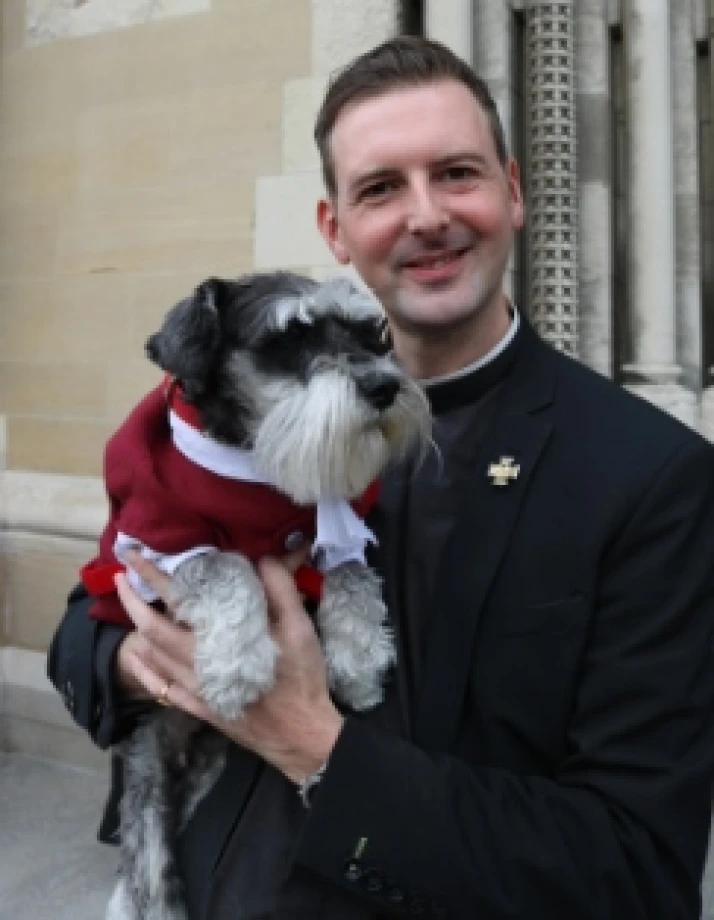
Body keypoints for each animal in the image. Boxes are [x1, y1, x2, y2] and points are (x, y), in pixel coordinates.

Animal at [87, 274, 428, 920]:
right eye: (289, 338)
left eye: (366, 332)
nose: (384, 385)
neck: (255, 469)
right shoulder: (159, 542)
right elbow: (228, 567)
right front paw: (237, 666)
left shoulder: (333, 523)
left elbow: (352, 572)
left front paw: (360, 661)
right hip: (146, 787)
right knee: (152, 877)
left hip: (202, 776)